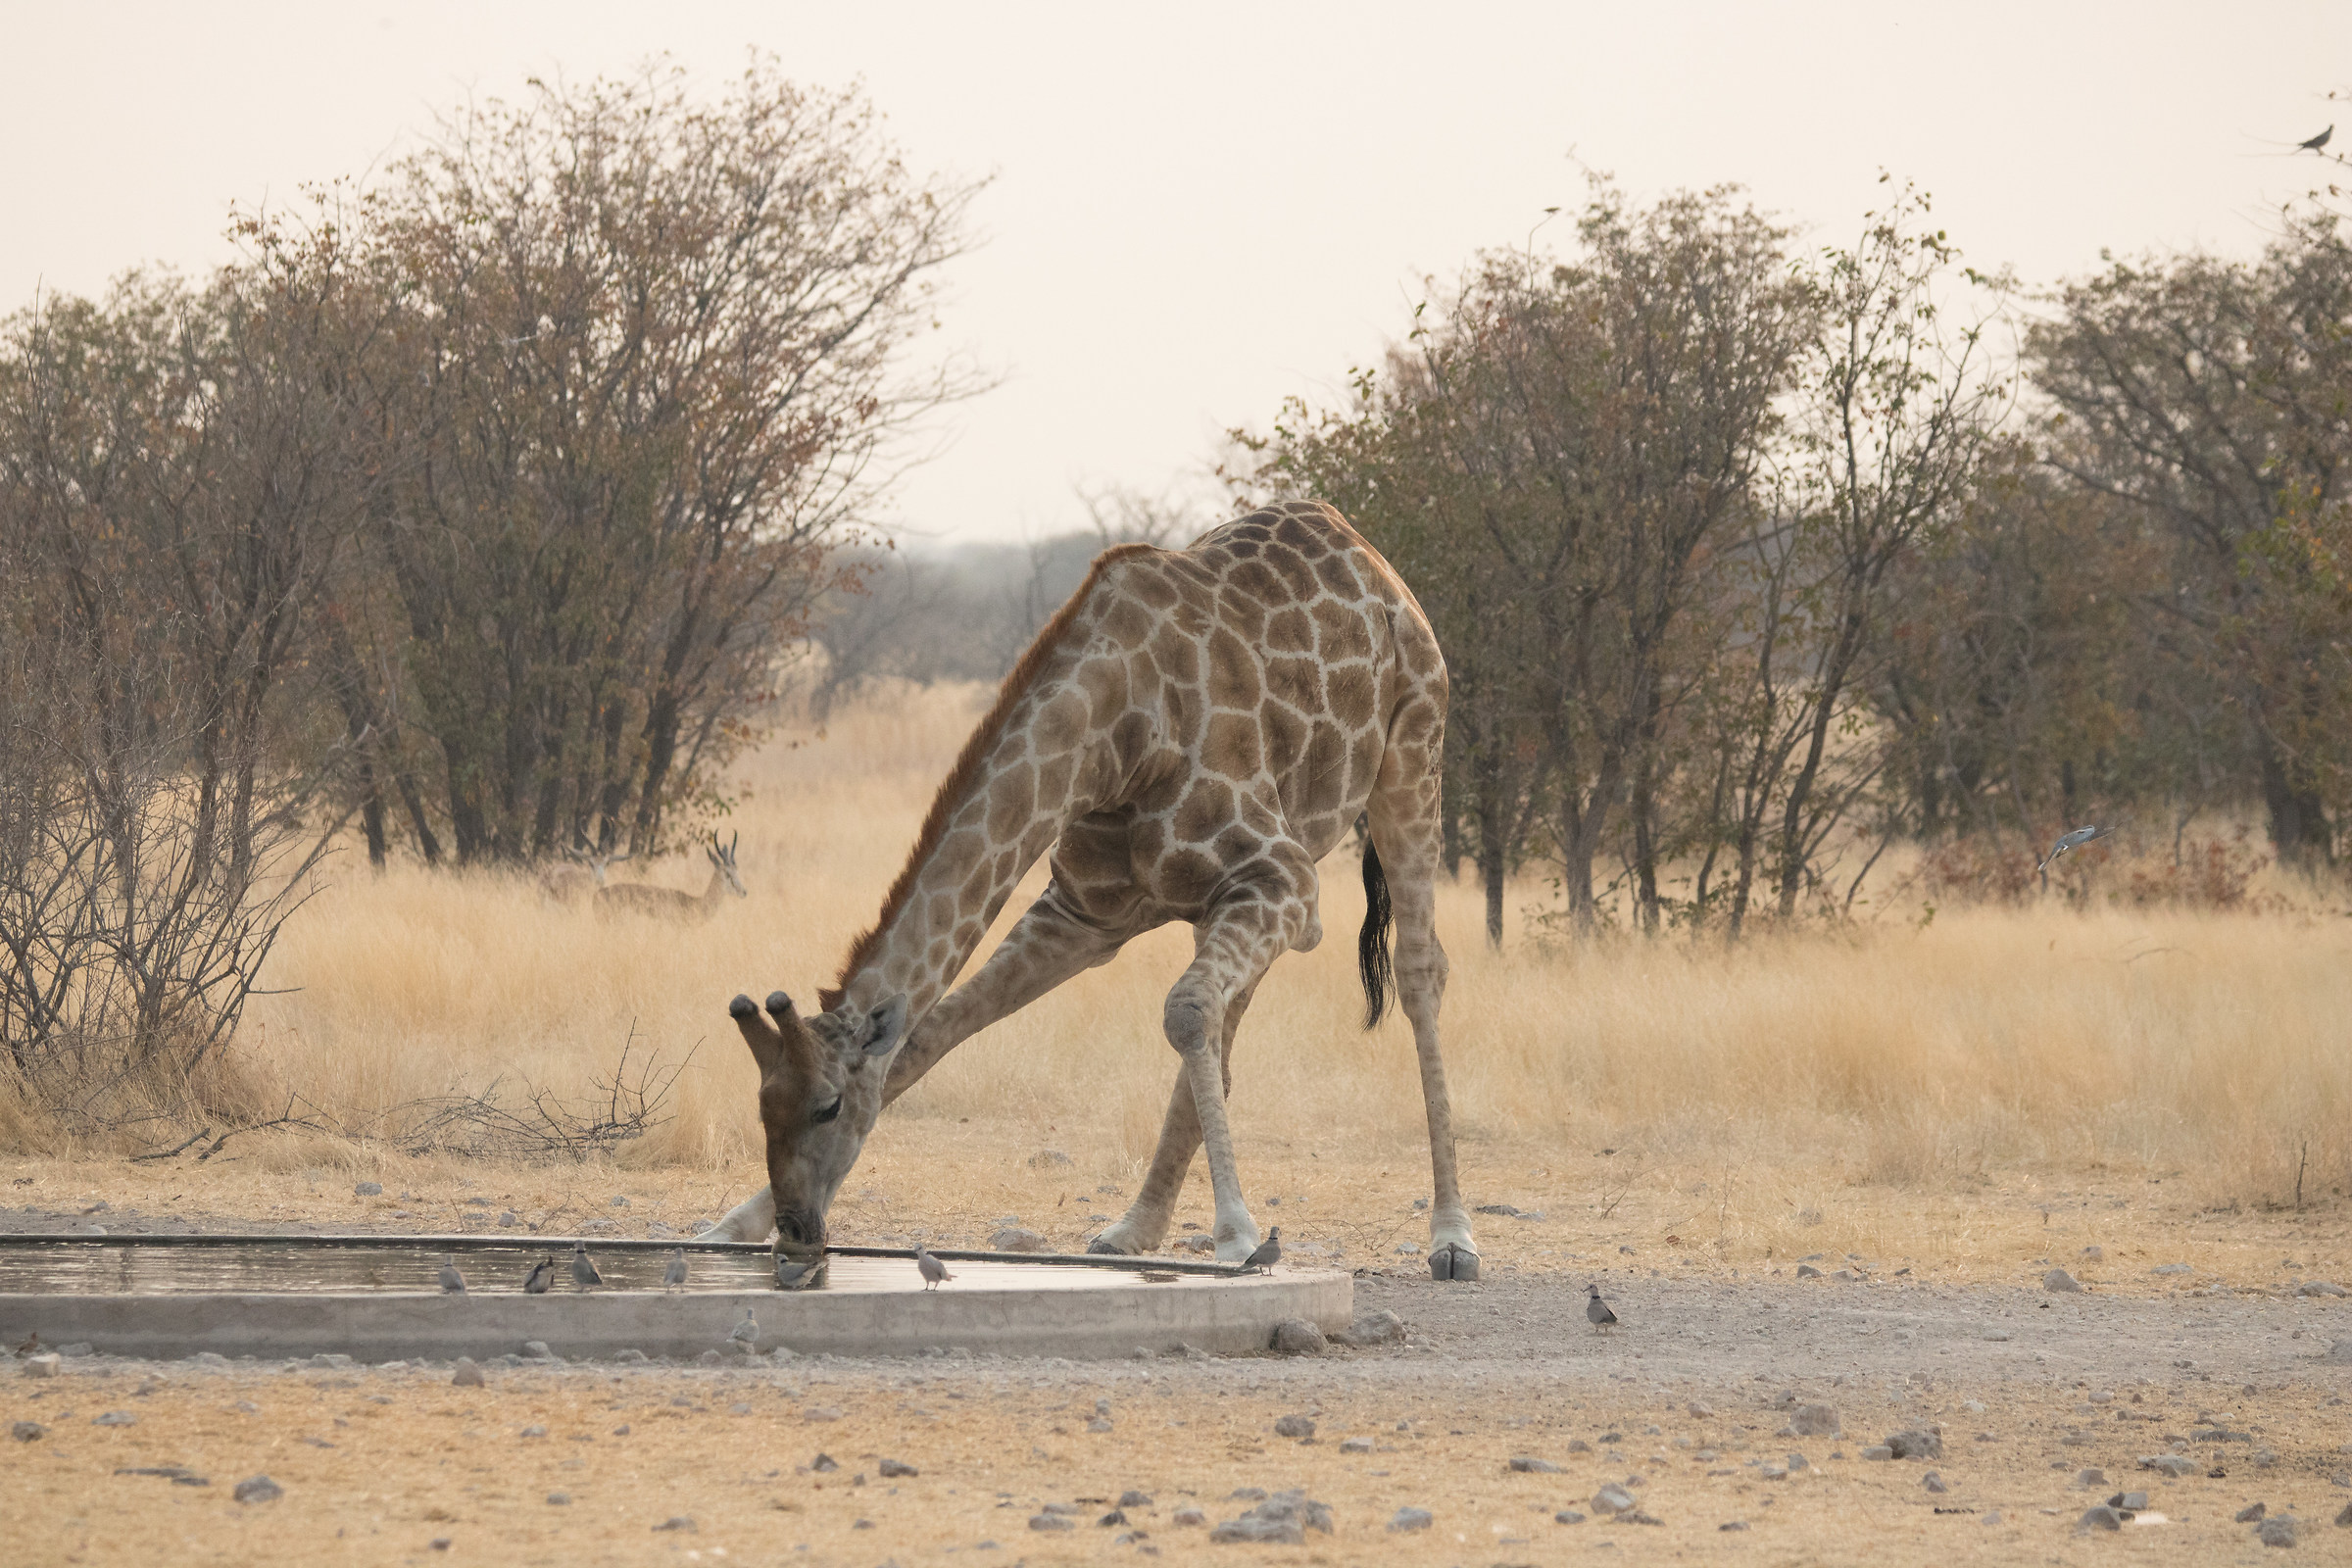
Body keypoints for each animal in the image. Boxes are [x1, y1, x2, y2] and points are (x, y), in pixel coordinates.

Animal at [711, 501, 1480, 1280]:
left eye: (829, 1106)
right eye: (763, 1105)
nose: (799, 1228)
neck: (1115, 740)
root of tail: (1357, 543)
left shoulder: (1282, 874)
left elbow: (1184, 1011)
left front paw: (1237, 1232)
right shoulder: (1082, 914)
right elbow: (934, 1031)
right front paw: (734, 1222)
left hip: (1412, 753)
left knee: (1420, 972)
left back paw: (1452, 1238)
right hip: (1232, 898)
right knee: (1228, 1014)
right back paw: (1132, 1228)